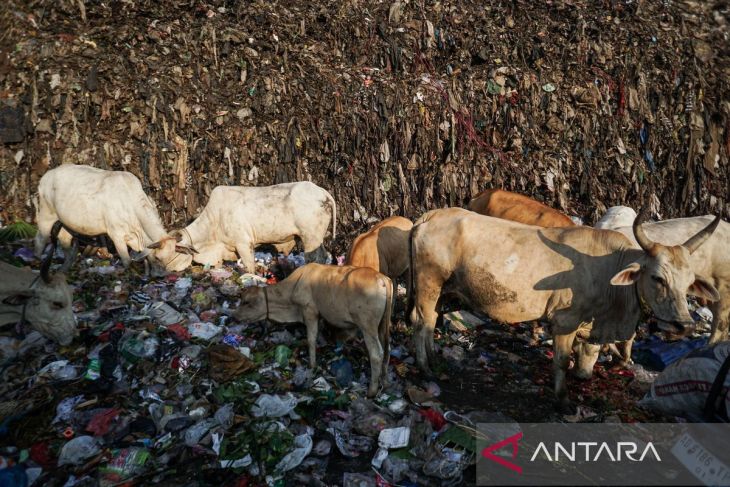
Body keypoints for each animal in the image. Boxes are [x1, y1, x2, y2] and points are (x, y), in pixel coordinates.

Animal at [34, 164, 193, 270]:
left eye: (171, 257)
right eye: (159, 258)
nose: (162, 276)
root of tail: (47, 176)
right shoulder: (116, 235)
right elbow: (127, 261)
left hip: (65, 221)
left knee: (64, 238)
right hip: (46, 214)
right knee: (40, 239)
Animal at [173, 183, 336, 274]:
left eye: (174, 251)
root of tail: (321, 191)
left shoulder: (243, 244)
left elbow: (250, 266)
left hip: (311, 237)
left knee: (317, 257)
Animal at [406, 207, 720, 412]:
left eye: (689, 282)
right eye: (657, 277)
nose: (685, 325)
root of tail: (429, 216)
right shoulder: (565, 321)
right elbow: (561, 360)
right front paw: (563, 399)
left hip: (439, 287)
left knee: (431, 320)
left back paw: (434, 359)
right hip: (429, 282)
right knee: (422, 322)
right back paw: (425, 367)